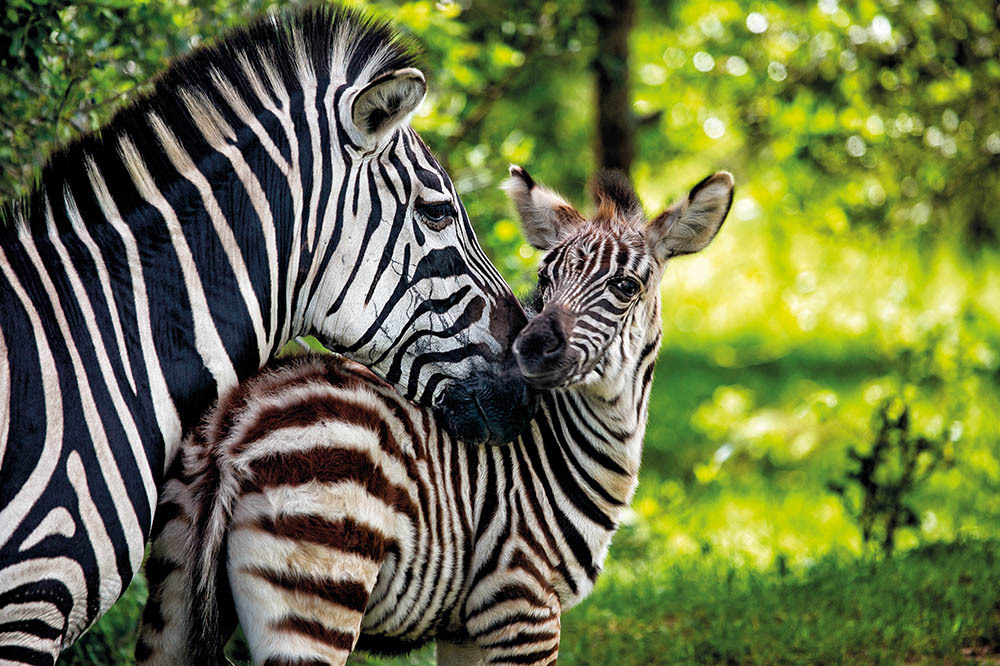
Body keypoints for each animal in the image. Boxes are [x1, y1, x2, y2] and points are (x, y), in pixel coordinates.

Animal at [137, 165, 734, 665]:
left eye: (625, 287)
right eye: (545, 279)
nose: (530, 348)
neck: (561, 448)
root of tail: (236, 428)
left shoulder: (464, 628)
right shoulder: (521, 604)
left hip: (172, 590)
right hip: (317, 588)